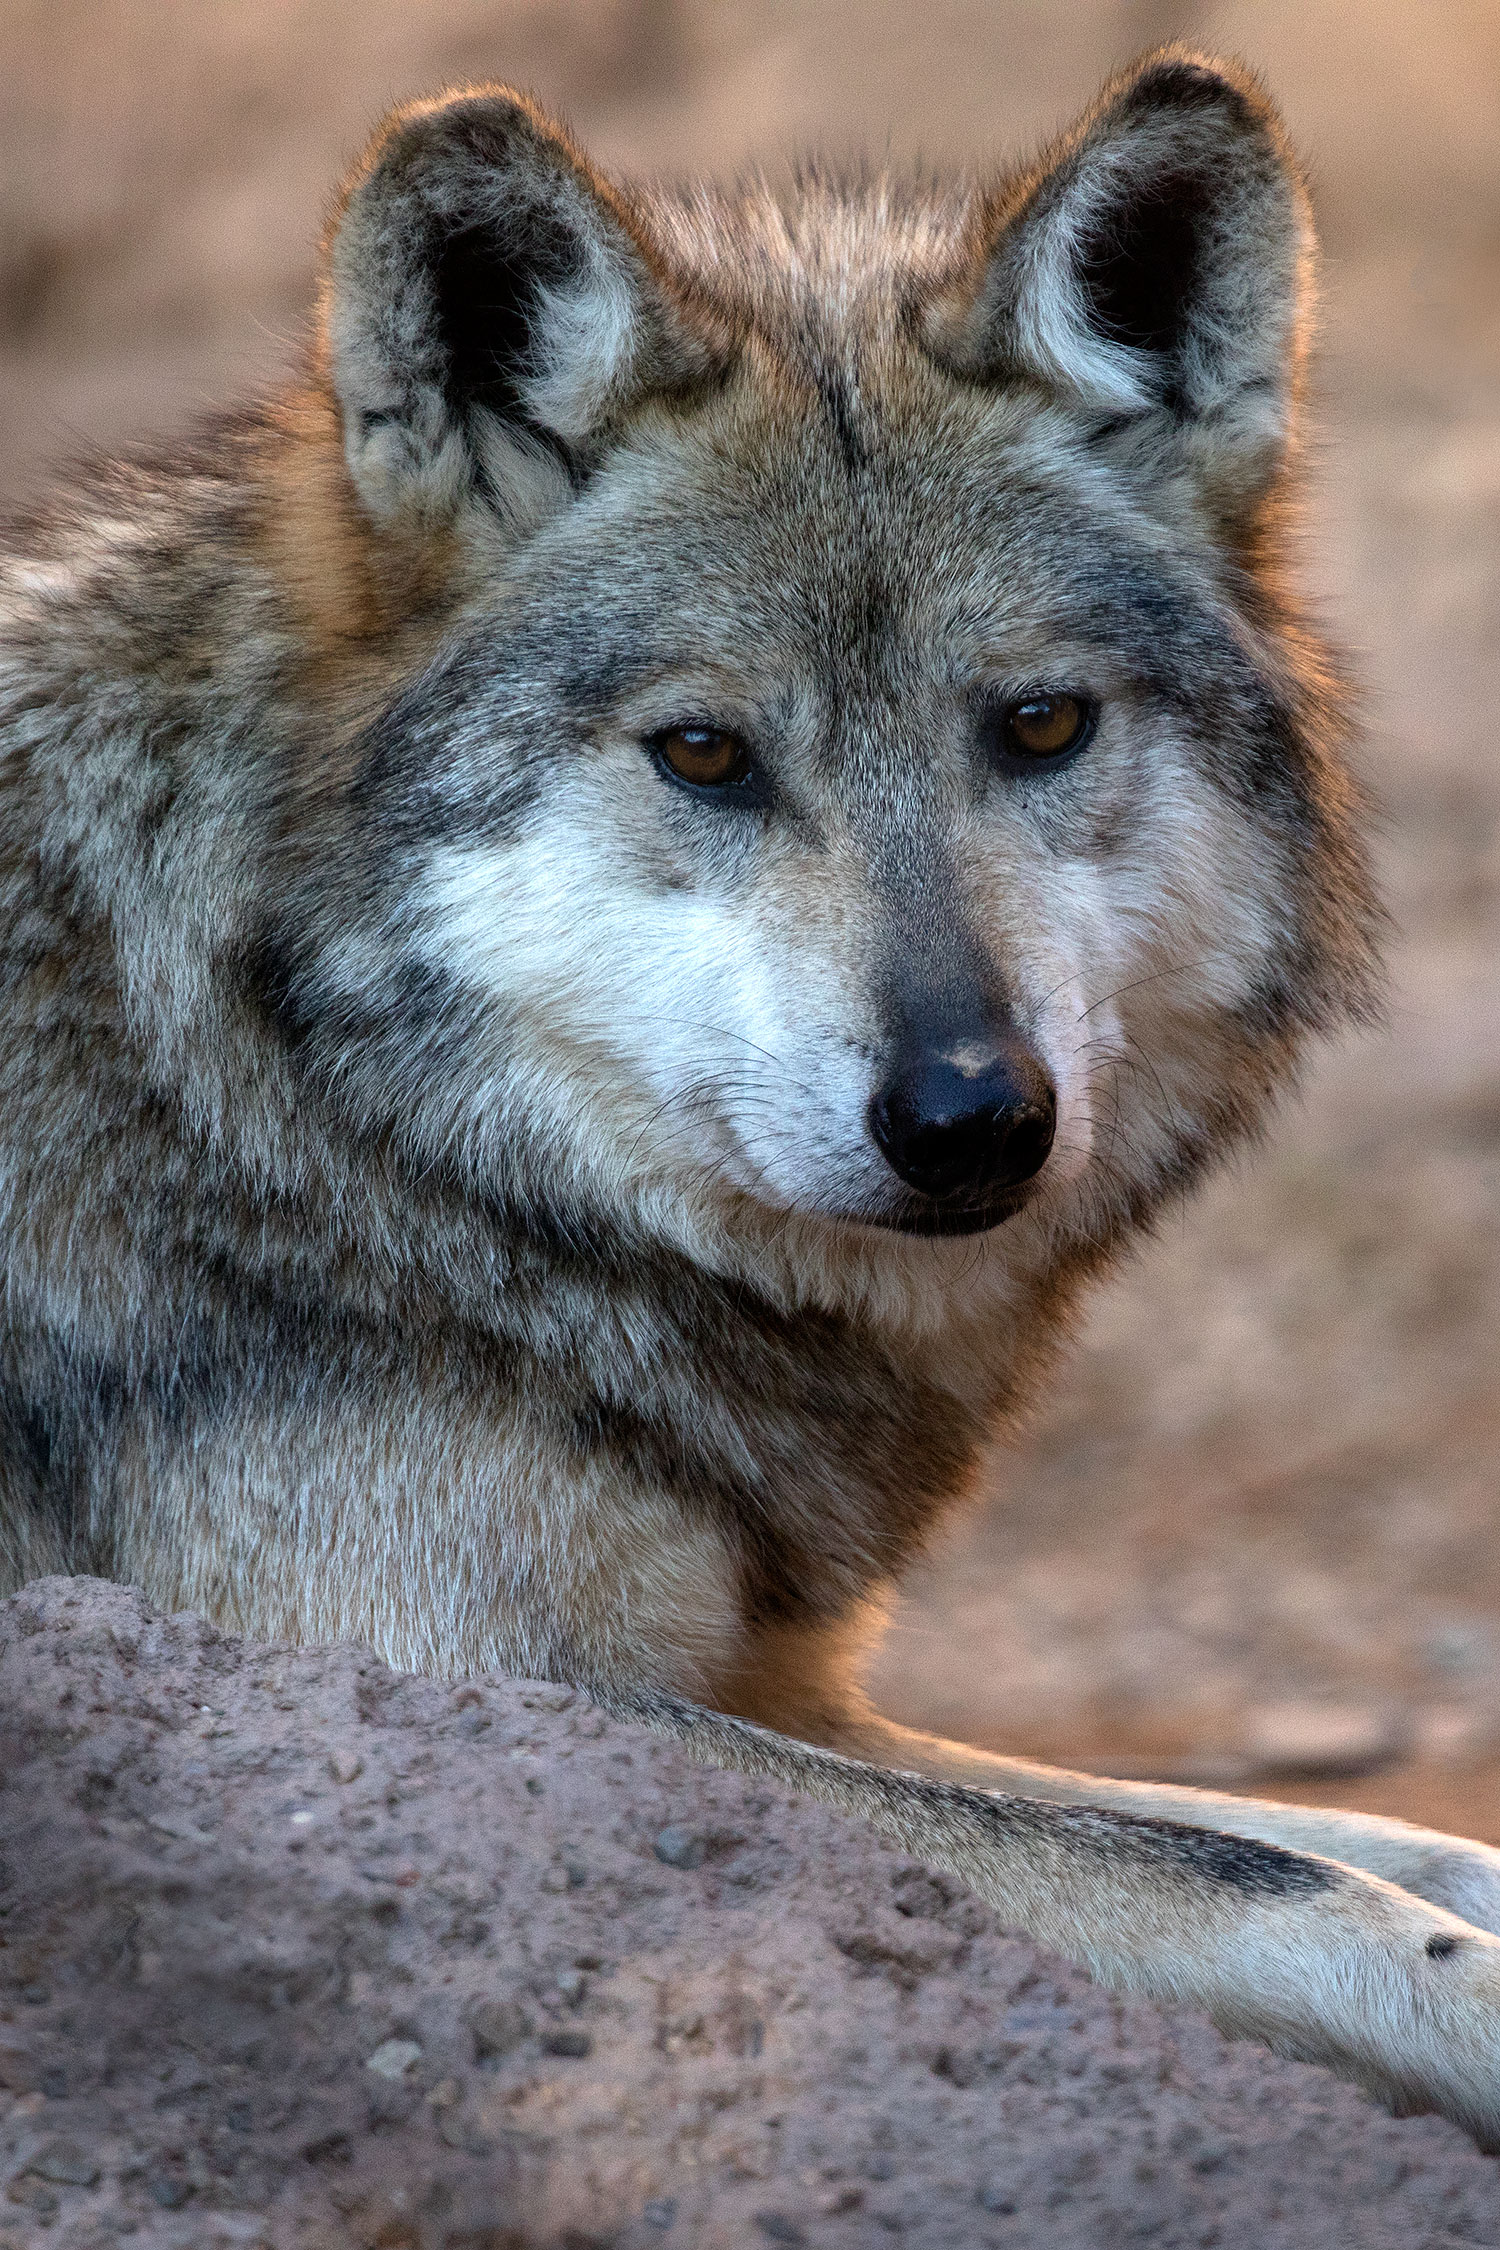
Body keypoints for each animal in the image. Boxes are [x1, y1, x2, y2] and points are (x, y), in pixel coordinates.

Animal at [3, 44, 1500, 2140]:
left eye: (1040, 726)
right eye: (704, 754)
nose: (971, 1117)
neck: (277, 1089)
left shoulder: (774, 1683)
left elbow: (1373, 1840)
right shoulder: (442, 1679)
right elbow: (1262, 1871)